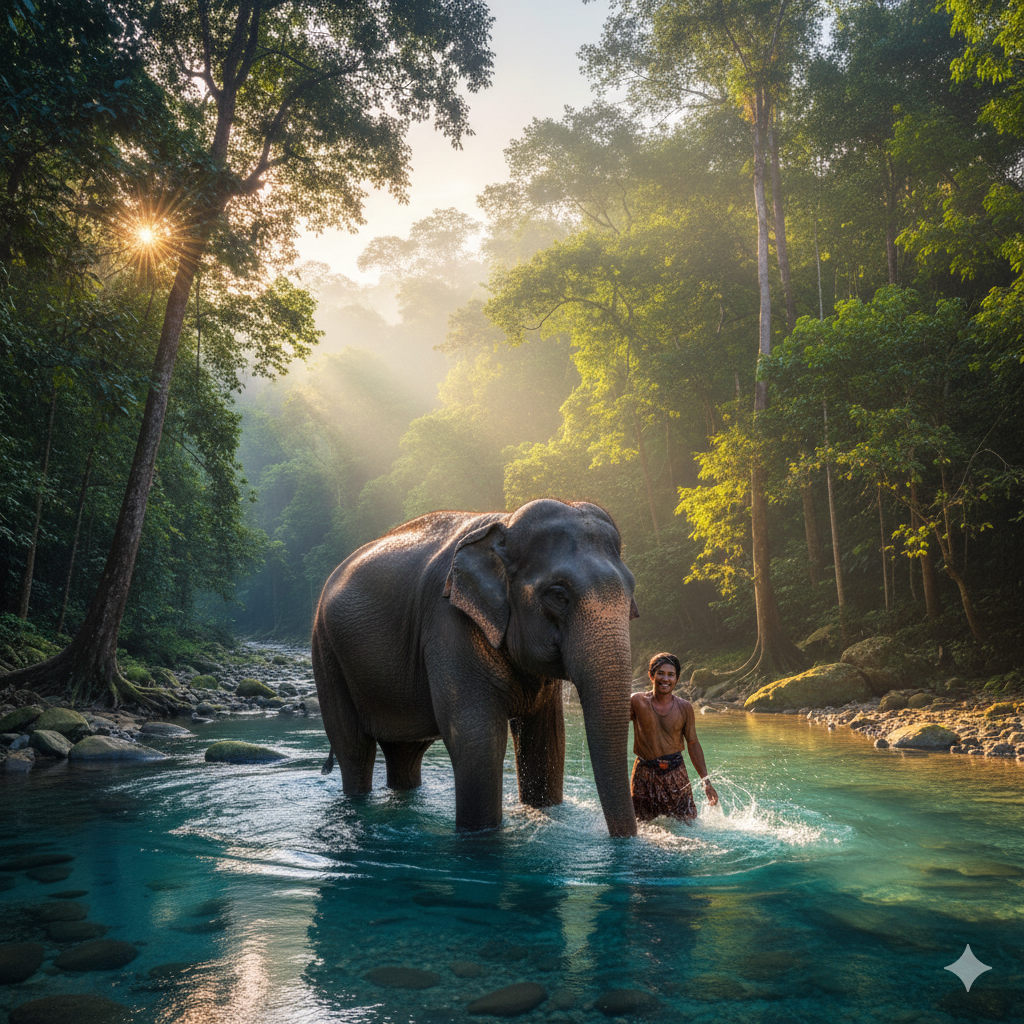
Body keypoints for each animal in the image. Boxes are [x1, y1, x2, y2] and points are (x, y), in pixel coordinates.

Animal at [311, 497, 640, 837]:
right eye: (559, 596)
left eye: (631, 592)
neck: (505, 523)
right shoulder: (448, 624)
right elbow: (476, 740)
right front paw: (482, 838)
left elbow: (548, 741)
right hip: (326, 653)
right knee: (354, 750)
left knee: (404, 753)